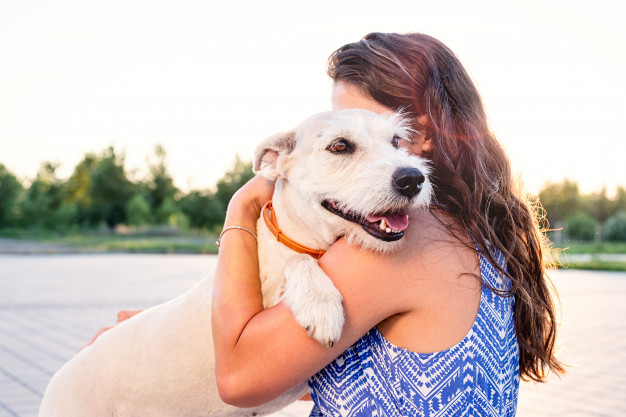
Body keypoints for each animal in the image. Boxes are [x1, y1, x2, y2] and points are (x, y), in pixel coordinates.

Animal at [37, 109, 428, 416]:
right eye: (340, 146)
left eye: (397, 141)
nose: (413, 178)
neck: (301, 237)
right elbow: (298, 263)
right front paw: (319, 303)